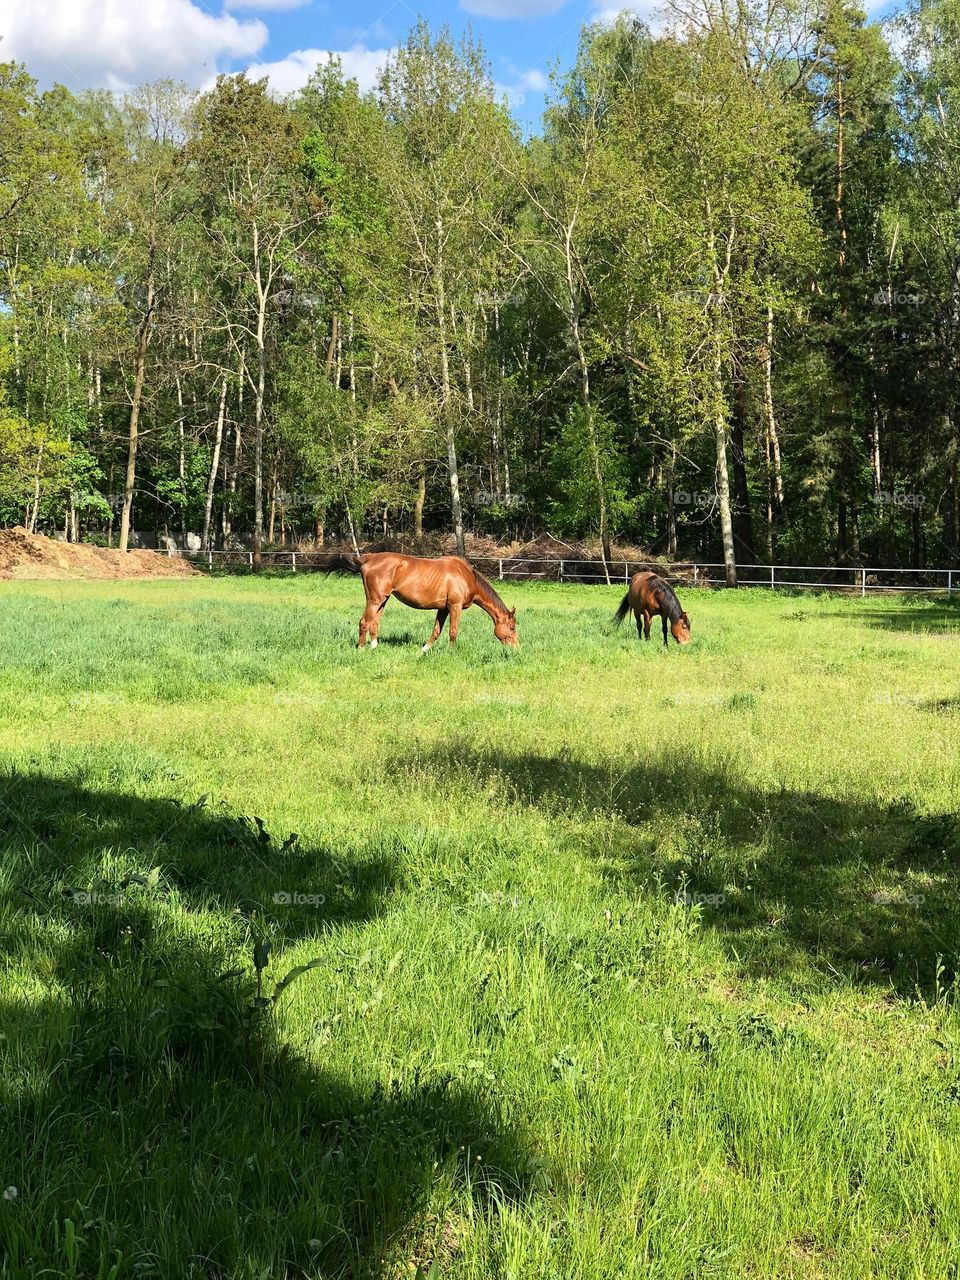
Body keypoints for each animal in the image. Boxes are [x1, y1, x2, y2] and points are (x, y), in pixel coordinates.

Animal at [328, 552, 519, 651]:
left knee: (374, 623)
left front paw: (425, 649)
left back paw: (374, 646)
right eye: (512, 627)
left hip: (383, 601)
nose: (517, 648)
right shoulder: (454, 607)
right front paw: (451, 652)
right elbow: (453, 631)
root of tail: (368, 558)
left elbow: (436, 631)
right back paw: (361, 649)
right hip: (374, 600)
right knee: (364, 622)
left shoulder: (443, 609)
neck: (466, 576)